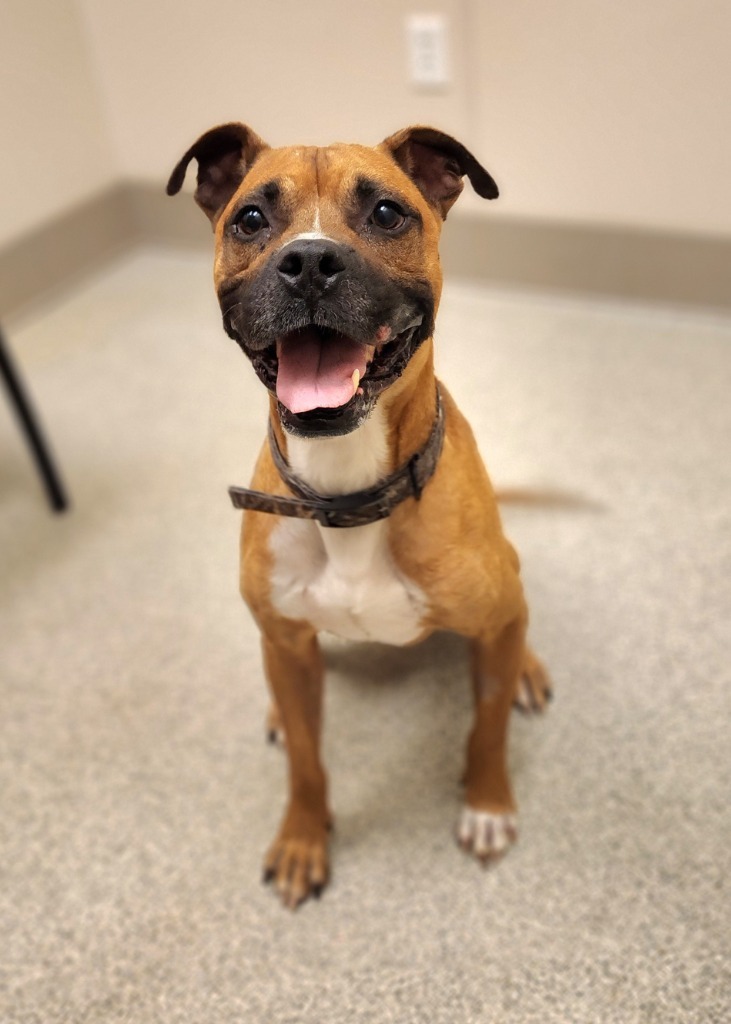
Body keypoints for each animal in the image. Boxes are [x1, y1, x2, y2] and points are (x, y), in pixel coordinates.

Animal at [167, 123, 548, 909]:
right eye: (251, 218)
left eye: (385, 213)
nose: (310, 262)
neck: (346, 495)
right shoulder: (284, 640)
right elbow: (307, 763)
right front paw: (302, 839)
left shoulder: (492, 624)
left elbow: (487, 726)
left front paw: (487, 803)